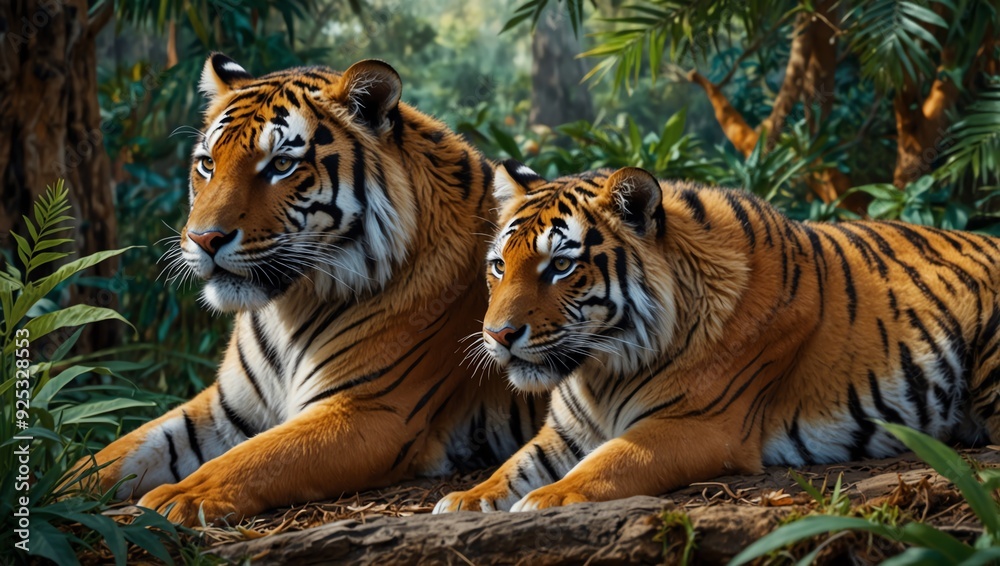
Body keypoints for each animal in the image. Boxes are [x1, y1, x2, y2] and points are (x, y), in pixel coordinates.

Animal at [70, 54, 545, 526]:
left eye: (281, 165)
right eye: (207, 163)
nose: (204, 239)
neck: (287, 307)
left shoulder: (369, 410)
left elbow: (256, 457)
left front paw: (175, 498)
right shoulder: (226, 408)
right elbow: (127, 448)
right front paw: (62, 485)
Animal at [433, 161, 1000, 513]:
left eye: (561, 266)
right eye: (499, 266)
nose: (498, 334)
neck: (601, 369)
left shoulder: (697, 426)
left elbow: (611, 460)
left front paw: (547, 499)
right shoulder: (565, 432)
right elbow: (514, 465)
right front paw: (465, 499)